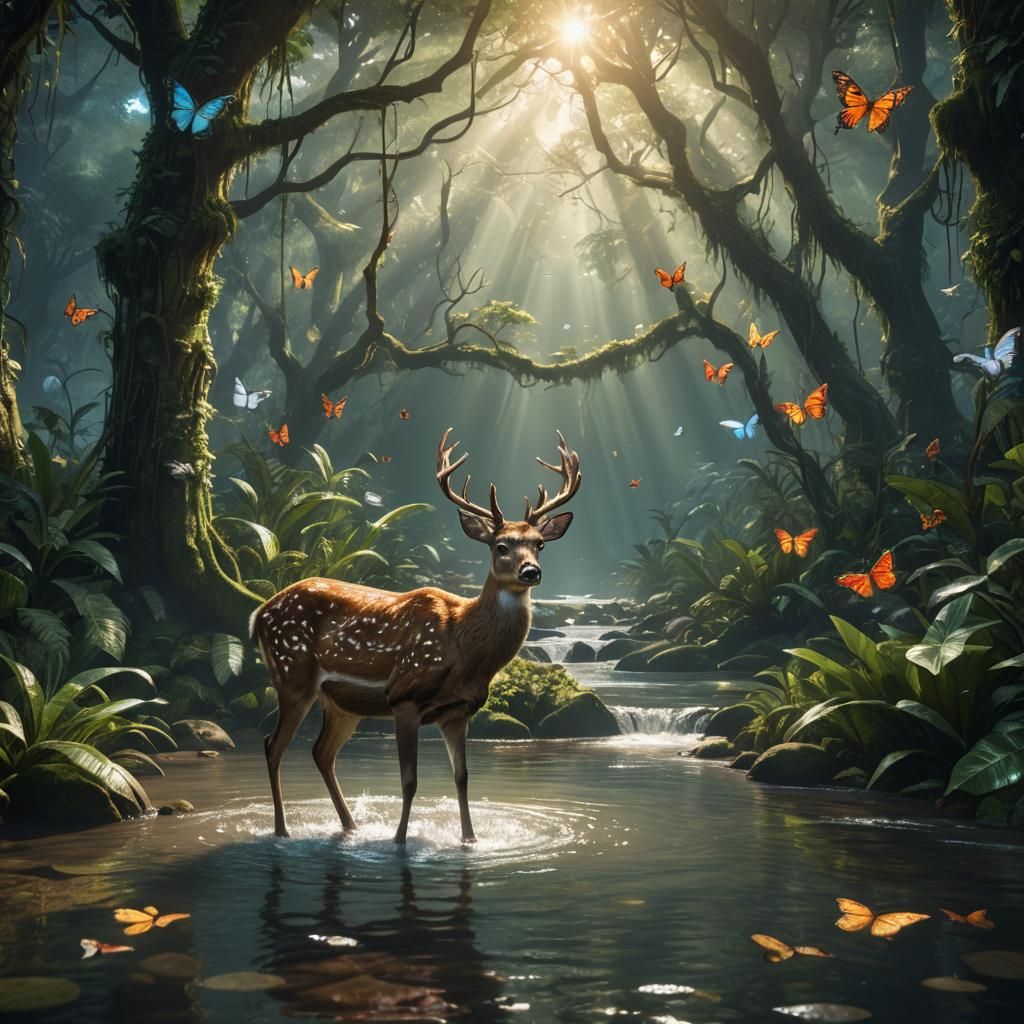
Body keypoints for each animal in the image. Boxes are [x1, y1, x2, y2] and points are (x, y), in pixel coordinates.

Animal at [251, 428, 581, 844]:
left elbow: (462, 778)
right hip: (291, 674)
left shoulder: (458, 712)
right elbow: (409, 781)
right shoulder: (404, 697)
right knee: (272, 746)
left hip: (341, 703)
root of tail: (259, 612)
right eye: (500, 546)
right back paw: (282, 831)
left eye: (540, 543)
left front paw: (470, 839)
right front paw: (399, 841)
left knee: (321, 752)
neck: (463, 646)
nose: (530, 572)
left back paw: (351, 827)